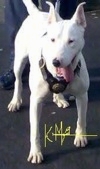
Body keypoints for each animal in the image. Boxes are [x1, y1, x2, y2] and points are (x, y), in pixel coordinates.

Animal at [7, 0, 89, 164]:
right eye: (52, 40)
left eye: (71, 41)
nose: (56, 62)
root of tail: (37, 12)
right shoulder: (36, 101)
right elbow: (34, 131)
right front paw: (36, 152)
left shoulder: (83, 95)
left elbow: (81, 119)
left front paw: (80, 137)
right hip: (19, 60)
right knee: (18, 80)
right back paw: (15, 101)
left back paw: (59, 98)